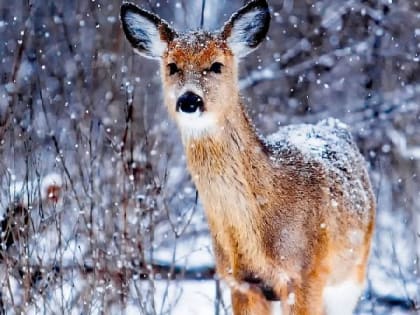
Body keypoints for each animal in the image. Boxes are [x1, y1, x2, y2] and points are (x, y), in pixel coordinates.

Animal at [120, 1, 374, 314]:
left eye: (216, 65)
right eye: (172, 66)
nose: (189, 100)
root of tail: (333, 124)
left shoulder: (306, 274)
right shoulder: (239, 282)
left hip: (350, 275)